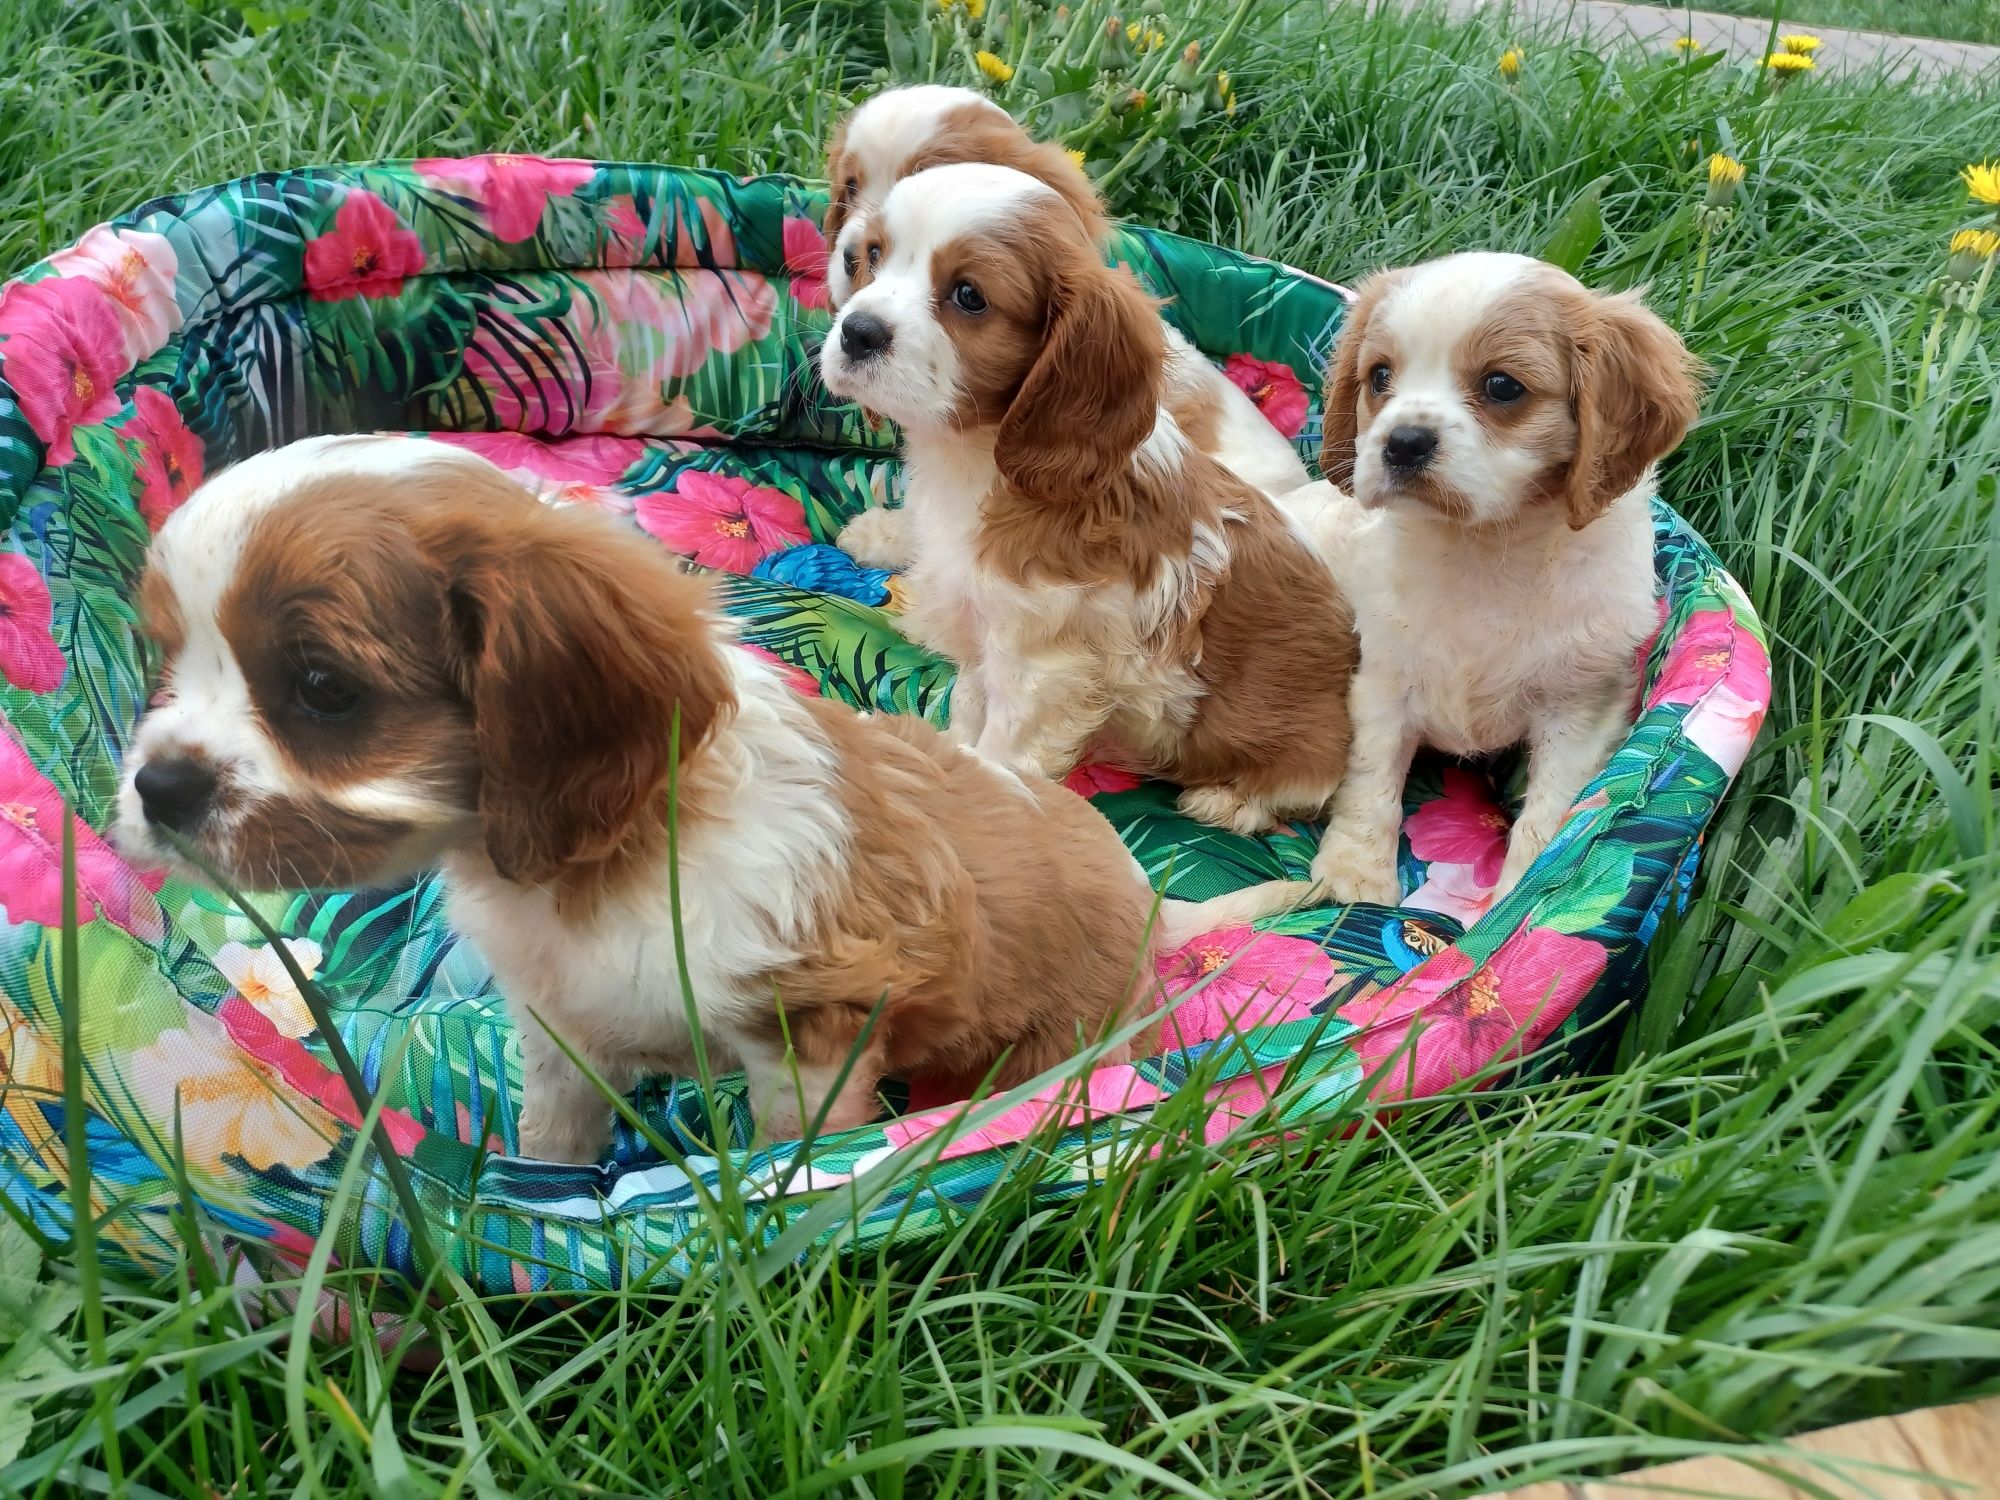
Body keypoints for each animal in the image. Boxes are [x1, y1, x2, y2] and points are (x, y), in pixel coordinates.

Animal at [113, 434, 1296, 1160]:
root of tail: (1150, 902)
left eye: (323, 688)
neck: (587, 866)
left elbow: (787, 1156)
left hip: (1053, 1049)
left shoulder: (811, 1031)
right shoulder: (556, 1029)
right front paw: (544, 1188)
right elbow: (554, 1139)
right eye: (164, 659)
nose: (157, 787)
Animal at [816, 173, 1360, 848]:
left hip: (1303, 745)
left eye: (969, 296)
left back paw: (1230, 801)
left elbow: (1001, 757)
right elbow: (968, 714)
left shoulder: (1042, 670)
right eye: (872, 257)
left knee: (1306, 787)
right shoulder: (983, 640)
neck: (974, 461)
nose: (857, 330)